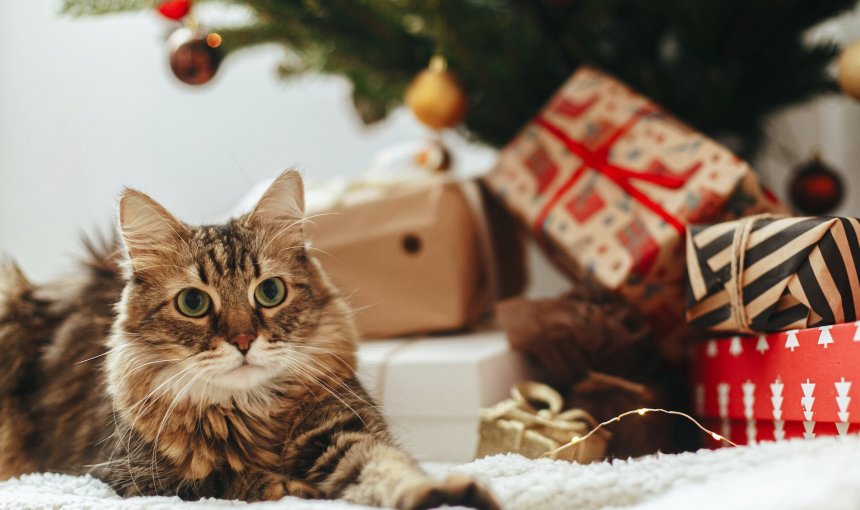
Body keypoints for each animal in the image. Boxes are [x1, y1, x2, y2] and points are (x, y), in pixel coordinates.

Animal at [0, 171, 498, 510]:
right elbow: (221, 480)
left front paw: (442, 493)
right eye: (193, 303)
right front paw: (285, 485)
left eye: (270, 292)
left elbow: (387, 467)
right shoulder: (126, 476)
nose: (243, 339)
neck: (250, 414)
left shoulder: (343, 429)